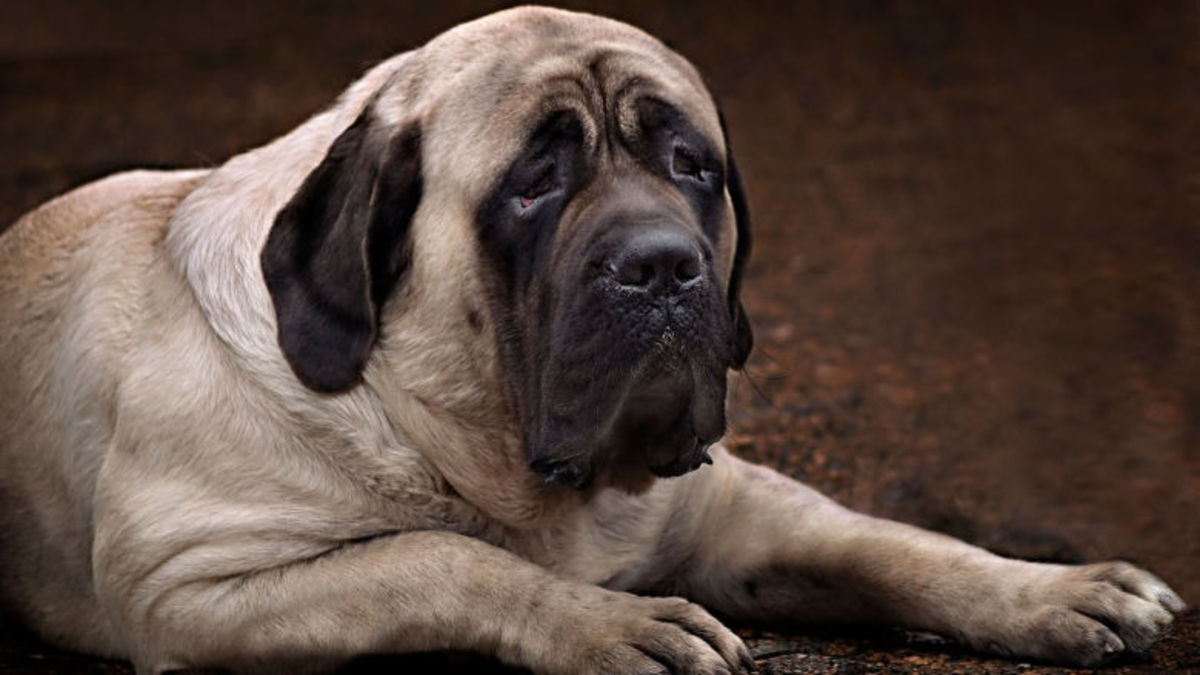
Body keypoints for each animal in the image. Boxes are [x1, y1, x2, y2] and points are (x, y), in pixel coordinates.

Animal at [0, 6, 1180, 672]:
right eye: (533, 184)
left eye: (692, 166)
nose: (660, 266)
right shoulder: (189, 586)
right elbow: (438, 558)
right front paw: (608, 625)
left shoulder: (728, 506)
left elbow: (890, 544)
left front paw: (1050, 589)